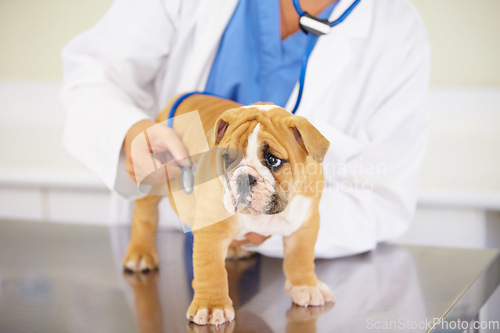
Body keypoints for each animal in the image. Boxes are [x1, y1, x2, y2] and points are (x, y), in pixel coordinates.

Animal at [122, 93, 332, 324]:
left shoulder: (305, 223)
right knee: (144, 212)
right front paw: (211, 306)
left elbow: (301, 258)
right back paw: (140, 254)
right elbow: (211, 269)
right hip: (156, 177)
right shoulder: (210, 229)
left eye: (273, 160)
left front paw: (306, 287)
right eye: (227, 158)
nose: (243, 178)